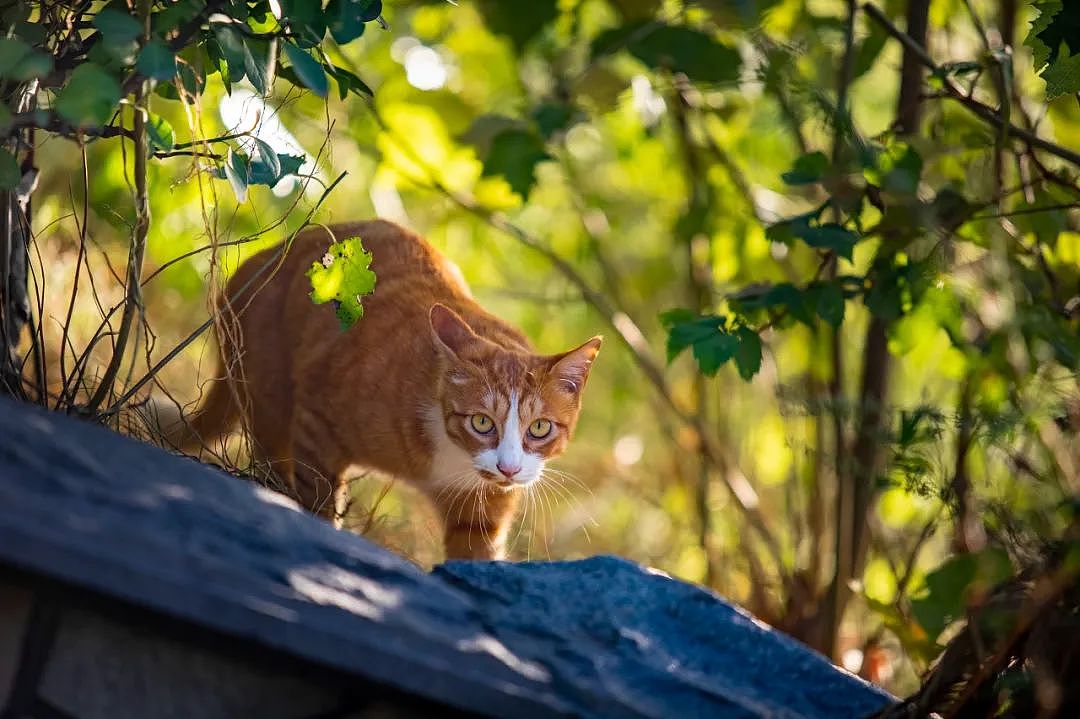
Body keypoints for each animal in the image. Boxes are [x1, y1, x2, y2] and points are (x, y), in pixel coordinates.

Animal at [172, 218, 604, 561]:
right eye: (482, 422)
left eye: (540, 428)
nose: (508, 468)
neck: (451, 459)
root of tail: (261, 260)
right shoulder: (318, 419)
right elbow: (319, 502)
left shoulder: (482, 515)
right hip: (268, 392)